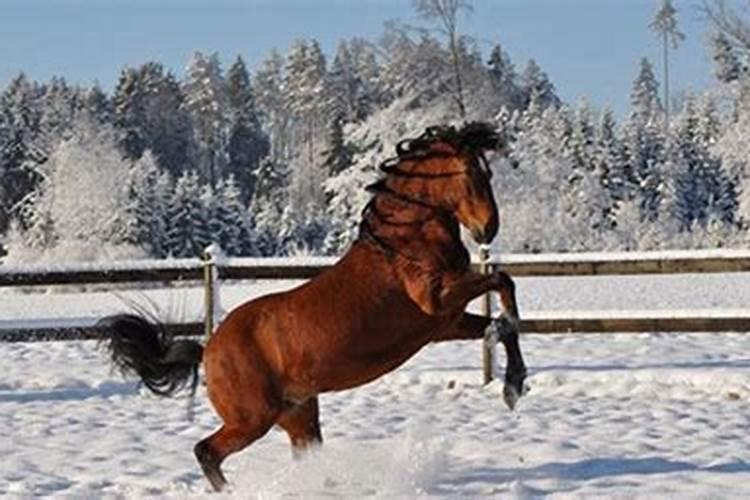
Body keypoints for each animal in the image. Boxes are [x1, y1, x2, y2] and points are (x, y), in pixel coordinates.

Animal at [101, 122, 528, 492]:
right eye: (472, 172)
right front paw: (512, 381)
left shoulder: (444, 323)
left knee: (298, 454)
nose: (488, 228)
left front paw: (514, 383)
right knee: (206, 451)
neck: (404, 242)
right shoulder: (436, 300)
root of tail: (209, 349)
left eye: (488, 172)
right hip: (253, 419)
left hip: (298, 415)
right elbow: (502, 280)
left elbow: (500, 323)